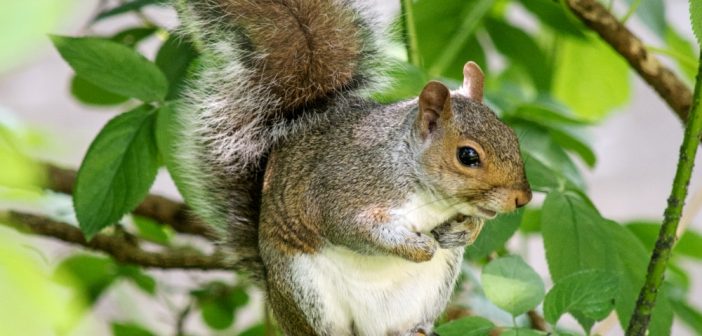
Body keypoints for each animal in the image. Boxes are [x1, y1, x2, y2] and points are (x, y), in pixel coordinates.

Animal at [175, 0, 528, 336]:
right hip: (305, 289)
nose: (522, 199)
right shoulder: (343, 190)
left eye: (512, 135)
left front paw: (463, 231)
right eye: (467, 156)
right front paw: (419, 246)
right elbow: (352, 227)